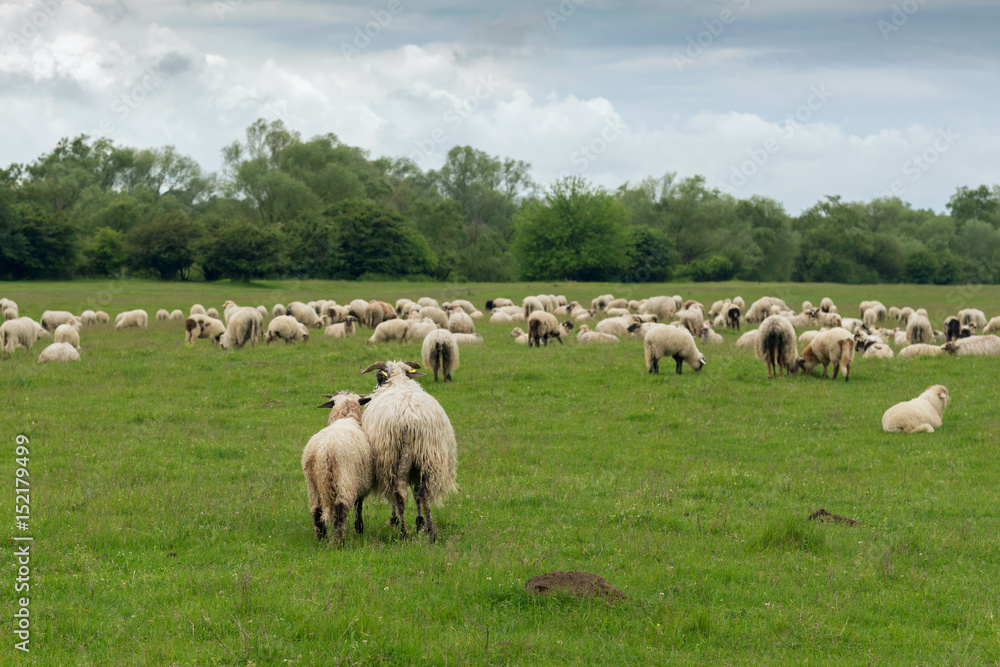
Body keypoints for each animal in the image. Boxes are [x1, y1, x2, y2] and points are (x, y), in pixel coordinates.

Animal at [300, 392, 376, 544]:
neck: (346, 417)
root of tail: (322, 451)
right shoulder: (360, 482)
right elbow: (359, 506)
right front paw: (359, 529)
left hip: (311, 483)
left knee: (316, 510)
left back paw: (322, 539)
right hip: (344, 477)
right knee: (341, 507)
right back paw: (339, 541)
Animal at [360, 360, 458, 544]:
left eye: (378, 378)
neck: (399, 381)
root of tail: (409, 420)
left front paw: (395, 520)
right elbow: (416, 494)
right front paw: (420, 523)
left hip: (392, 459)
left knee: (399, 495)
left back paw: (403, 533)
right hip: (427, 456)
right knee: (423, 493)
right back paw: (432, 533)